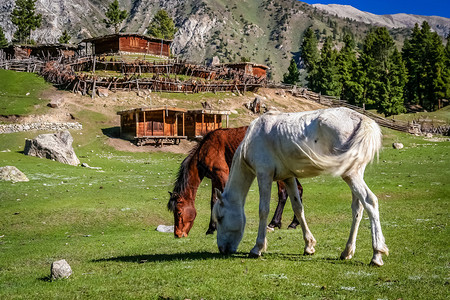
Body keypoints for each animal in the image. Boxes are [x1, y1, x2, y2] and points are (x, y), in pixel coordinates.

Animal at [167, 125, 300, 238]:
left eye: (178, 213)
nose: (177, 234)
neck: (205, 149)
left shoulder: (222, 175)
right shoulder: (215, 179)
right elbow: (213, 201)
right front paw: (211, 228)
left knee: (283, 194)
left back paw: (274, 223)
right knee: (298, 191)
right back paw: (294, 223)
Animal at [213, 106, 388, 266]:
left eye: (220, 218)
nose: (222, 249)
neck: (252, 139)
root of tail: (362, 120)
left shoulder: (264, 175)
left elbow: (263, 210)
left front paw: (257, 248)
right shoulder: (289, 178)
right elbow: (298, 208)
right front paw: (309, 246)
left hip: (351, 175)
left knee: (370, 201)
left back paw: (377, 254)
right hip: (354, 174)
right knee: (357, 208)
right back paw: (347, 252)